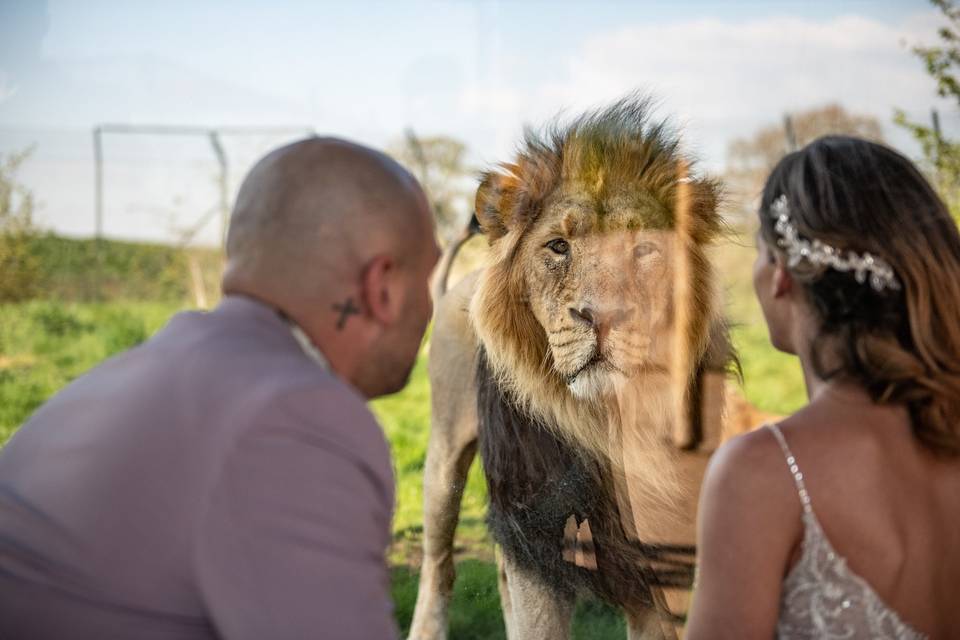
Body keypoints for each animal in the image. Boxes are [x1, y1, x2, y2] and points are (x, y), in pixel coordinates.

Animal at [408, 96, 732, 640]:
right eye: (558, 246)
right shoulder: (536, 526)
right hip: (443, 463)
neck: (607, 423)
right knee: (439, 567)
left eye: (644, 250)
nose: (604, 316)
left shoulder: (660, 560)